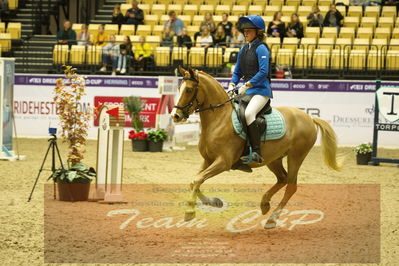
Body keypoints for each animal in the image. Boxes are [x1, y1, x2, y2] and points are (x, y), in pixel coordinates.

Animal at [172, 66, 340, 229]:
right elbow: (195, 180)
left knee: (291, 186)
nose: (175, 115)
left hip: (296, 156)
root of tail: (309, 118)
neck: (219, 119)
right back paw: (265, 204)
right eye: (179, 87)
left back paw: (272, 219)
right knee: (282, 179)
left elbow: (198, 179)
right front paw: (214, 202)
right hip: (274, 159)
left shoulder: (223, 162)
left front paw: (190, 212)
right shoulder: (208, 160)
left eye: (189, 90)